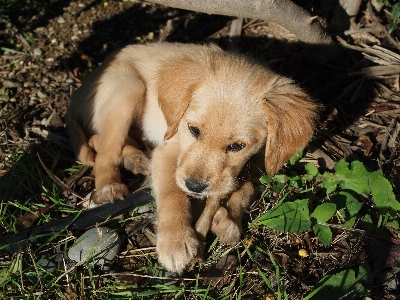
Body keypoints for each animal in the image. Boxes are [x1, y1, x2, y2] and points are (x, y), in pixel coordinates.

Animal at [67, 42, 320, 274]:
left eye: (237, 146)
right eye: (193, 130)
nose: (195, 186)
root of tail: (79, 91)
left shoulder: (256, 163)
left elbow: (244, 188)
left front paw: (228, 219)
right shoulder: (168, 150)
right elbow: (172, 193)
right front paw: (176, 242)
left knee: (101, 139)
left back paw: (135, 159)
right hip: (127, 88)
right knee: (102, 148)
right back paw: (109, 185)